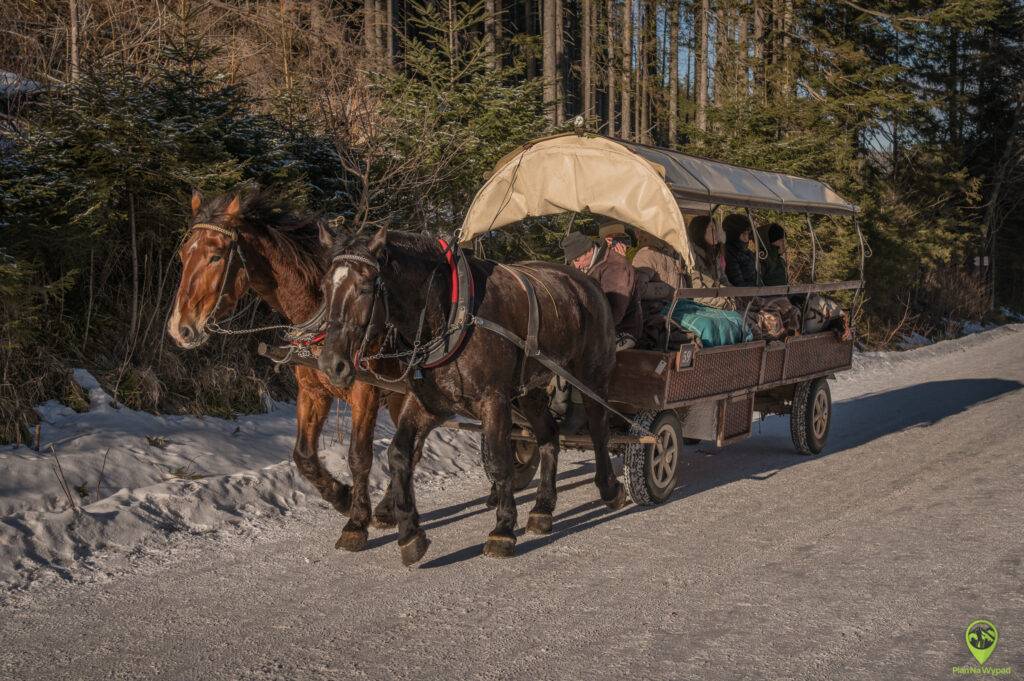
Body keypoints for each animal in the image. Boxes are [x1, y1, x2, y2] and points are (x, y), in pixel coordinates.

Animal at [165, 188, 405, 548]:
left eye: (216, 256)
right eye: (183, 255)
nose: (180, 329)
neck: (324, 316)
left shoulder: (366, 392)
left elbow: (359, 456)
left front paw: (356, 523)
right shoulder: (313, 391)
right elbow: (303, 456)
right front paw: (342, 497)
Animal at [319, 225, 622, 565]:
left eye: (363, 288)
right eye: (324, 288)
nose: (331, 364)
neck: (451, 312)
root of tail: (587, 283)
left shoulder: (494, 400)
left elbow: (498, 461)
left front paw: (503, 530)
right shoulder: (429, 403)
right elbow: (399, 454)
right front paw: (409, 533)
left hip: (592, 376)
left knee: (599, 429)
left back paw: (610, 488)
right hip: (529, 390)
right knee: (548, 435)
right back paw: (543, 508)